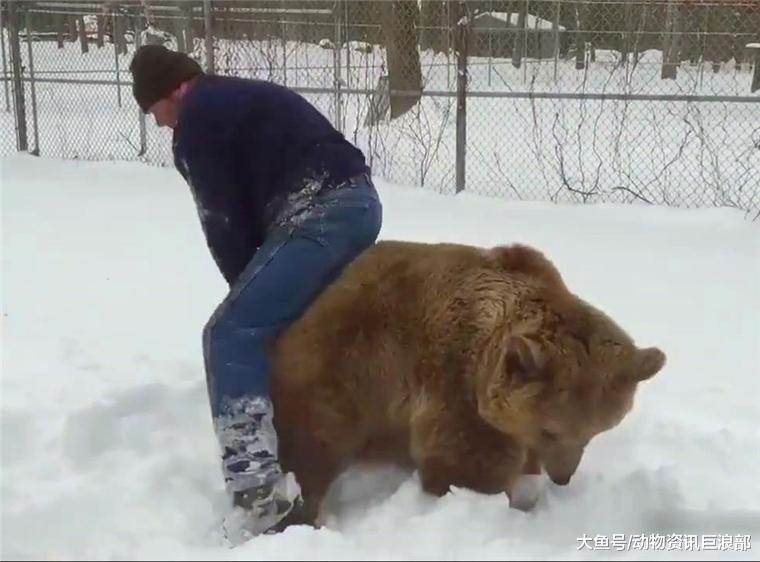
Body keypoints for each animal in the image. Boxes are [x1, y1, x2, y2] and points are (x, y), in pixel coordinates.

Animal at [267, 240, 666, 529]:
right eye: (550, 430)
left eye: (593, 433)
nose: (563, 477)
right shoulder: (455, 385)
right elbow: (467, 460)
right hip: (336, 369)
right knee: (315, 443)